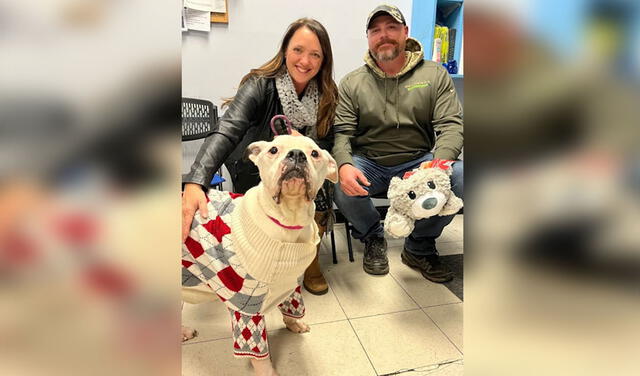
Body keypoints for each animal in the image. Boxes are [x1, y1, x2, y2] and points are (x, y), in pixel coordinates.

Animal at [181, 135, 338, 376]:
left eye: (314, 153)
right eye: (273, 150)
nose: (296, 154)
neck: (288, 221)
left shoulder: (289, 282)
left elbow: (292, 307)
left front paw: (294, 324)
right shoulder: (246, 305)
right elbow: (258, 351)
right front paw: (267, 371)